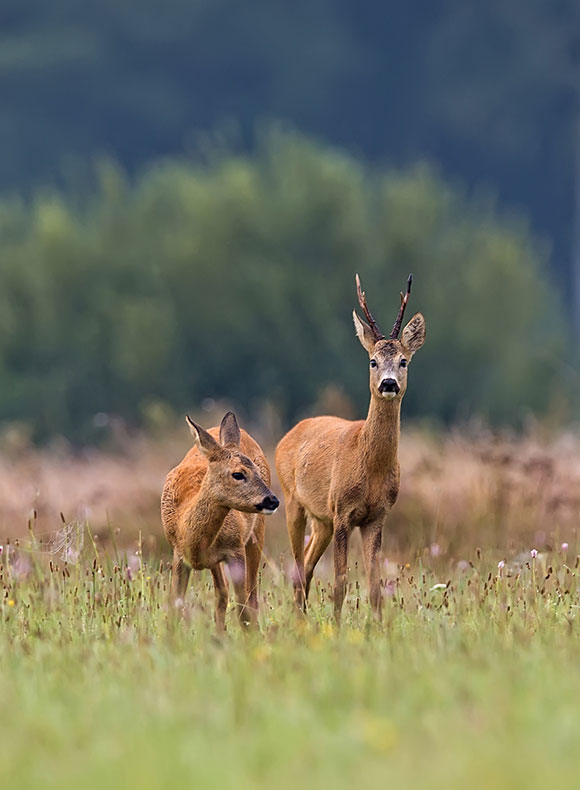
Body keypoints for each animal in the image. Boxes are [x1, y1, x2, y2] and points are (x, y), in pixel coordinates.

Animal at [161, 414, 278, 632]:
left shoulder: (235, 548)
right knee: (222, 591)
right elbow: (174, 606)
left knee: (251, 596)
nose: (273, 500)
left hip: (256, 533)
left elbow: (243, 609)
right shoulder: (179, 553)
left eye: (257, 472)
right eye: (238, 474)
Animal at [274, 276, 424, 620]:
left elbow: (374, 585)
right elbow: (341, 581)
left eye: (403, 361)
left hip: (321, 520)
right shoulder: (342, 511)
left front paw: (378, 627)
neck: (368, 465)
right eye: (372, 361)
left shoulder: (377, 516)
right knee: (298, 566)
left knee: (306, 566)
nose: (388, 383)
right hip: (293, 501)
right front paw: (338, 626)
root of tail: (289, 433)